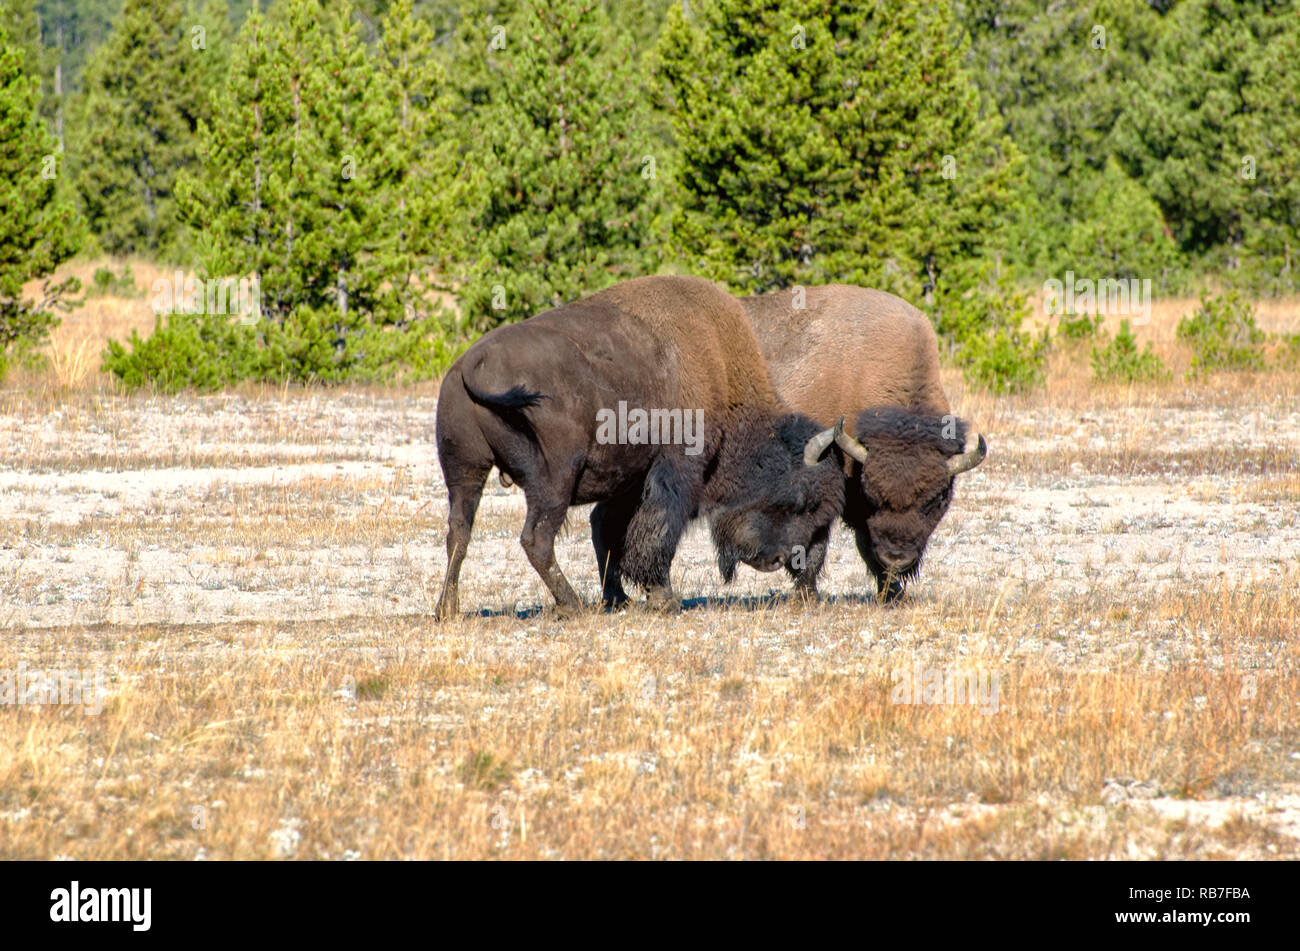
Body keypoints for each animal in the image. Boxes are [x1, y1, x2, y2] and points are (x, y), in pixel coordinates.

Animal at [431, 275, 847, 615]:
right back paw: (572, 606)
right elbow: (656, 534)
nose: (777, 559)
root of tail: (476, 361)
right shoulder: (675, 474)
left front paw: (620, 598)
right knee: (536, 539)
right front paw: (663, 599)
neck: (720, 372)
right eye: (798, 501)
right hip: (554, 479)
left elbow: (609, 531)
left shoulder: (629, 482)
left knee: (459, 531)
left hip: (465, 471)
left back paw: (447, 609)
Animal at [743, 281, 982, 602]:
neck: (860, 371)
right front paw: (809, 595)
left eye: (937, 500)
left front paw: (892, 594)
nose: (897, 557)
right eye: (873, 496)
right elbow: (817, 546)